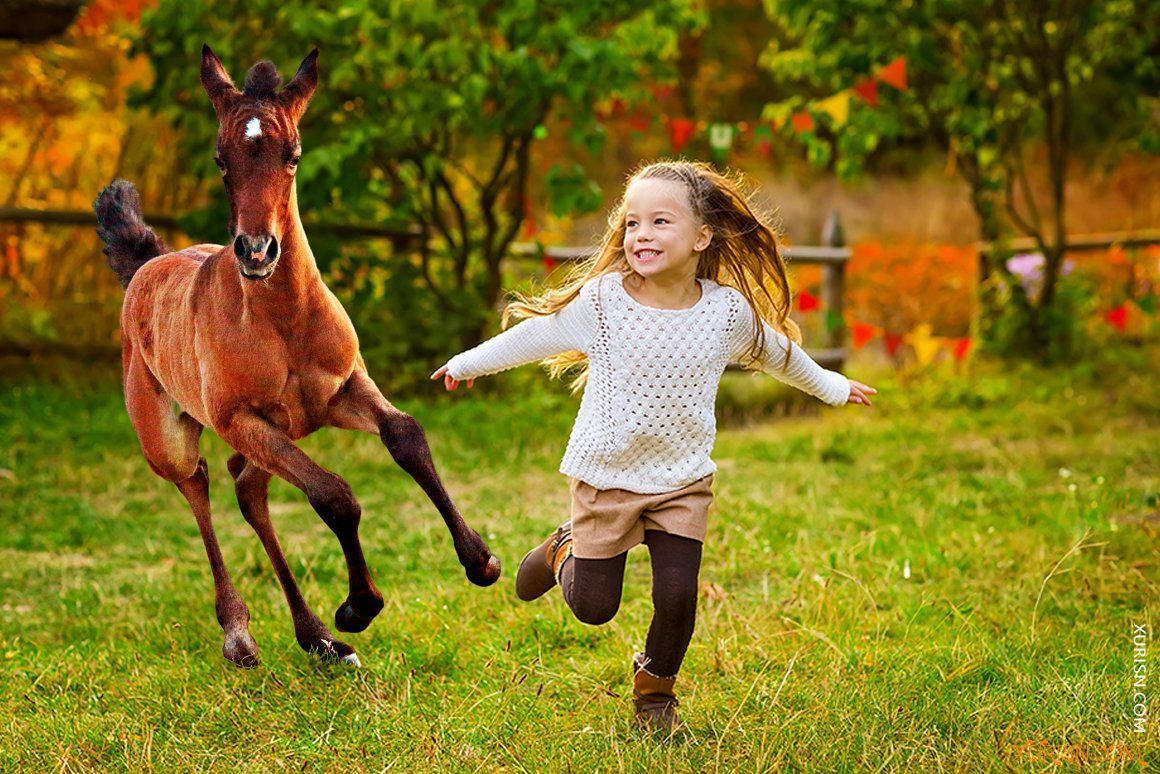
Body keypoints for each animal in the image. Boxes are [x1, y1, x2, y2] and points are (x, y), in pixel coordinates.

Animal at [92, 45, 501, 668]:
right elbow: (333, 494)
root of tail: (146, 267)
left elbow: (406, 435)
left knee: (245, 488)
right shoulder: (241, 419)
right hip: (175, 441)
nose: (257, 251)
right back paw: (245, 635)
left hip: (276, 435)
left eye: (293, 155)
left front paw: (480, 560)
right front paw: (358, 607)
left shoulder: (344, 388)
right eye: (220, 160)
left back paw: (317, 639)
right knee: (200, 484)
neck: (283, 322)